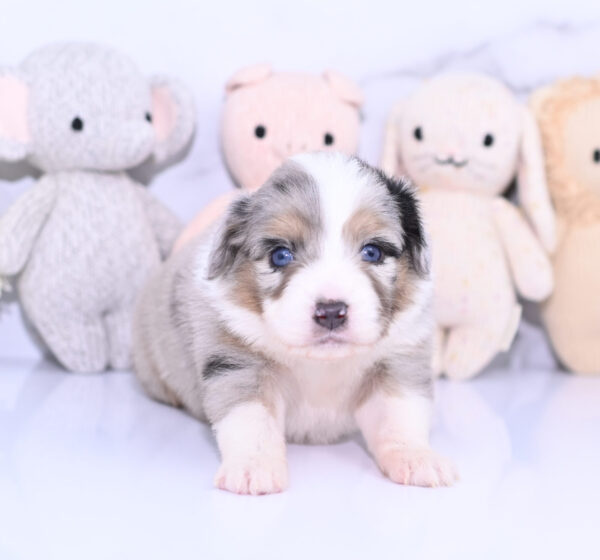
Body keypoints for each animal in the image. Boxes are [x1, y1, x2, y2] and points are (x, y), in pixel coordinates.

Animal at [134, 152, 458, 494]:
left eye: (373, 251)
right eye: (280, 255)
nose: (331, 311)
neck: (320, 362)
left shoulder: (396, 360)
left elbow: (399, 415)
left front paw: (417, 456)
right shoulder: (239, 362)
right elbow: (251, 420)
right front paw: (254, 465)